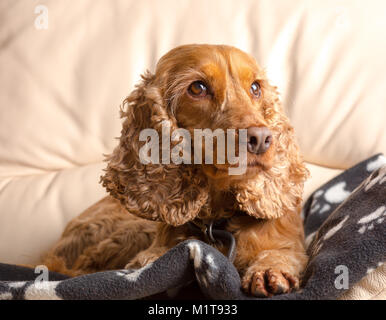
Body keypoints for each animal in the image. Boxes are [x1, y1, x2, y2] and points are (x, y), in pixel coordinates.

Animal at [41, 45, 308, 298]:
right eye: (198, 88)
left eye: (255, 88)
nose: (261, 139)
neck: (217, 218)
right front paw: (149, 263)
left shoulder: (287, 241)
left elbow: (281, 252)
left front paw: (270, 269)